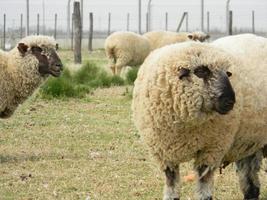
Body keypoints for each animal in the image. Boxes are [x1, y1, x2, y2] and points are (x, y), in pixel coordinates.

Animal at [133, 33, 267, 199]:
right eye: (201, 71)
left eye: (228, 73)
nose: (230, 101)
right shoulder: (165, 155)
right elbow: (171, 186)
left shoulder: (211, 150)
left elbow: (204, 189)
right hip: (250, 142)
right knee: (250, 181)